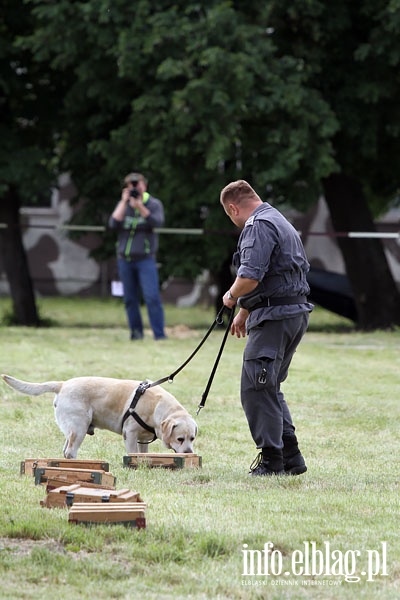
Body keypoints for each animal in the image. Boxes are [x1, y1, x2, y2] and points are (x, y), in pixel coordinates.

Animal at [1, 376, 198, 460]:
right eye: (180, 439)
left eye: (192, 438)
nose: (189, 453)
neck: (157, 407)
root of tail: (63, 384)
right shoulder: (130, 433)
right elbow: (132, 453)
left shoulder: (143, 439)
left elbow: (143, 454)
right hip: (79, 428)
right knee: (70, 451)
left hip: (72, 430)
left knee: (65, 450)